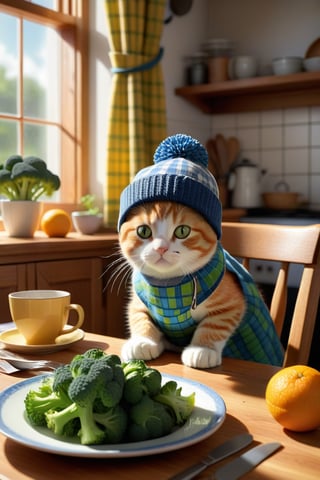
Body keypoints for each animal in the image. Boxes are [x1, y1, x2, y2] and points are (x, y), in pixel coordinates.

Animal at [119, 199, 282, 368]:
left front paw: (202, 349)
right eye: (143, 231)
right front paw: (142, 341)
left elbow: (215, 324)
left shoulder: (232, 303)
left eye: (182, 231)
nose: (161, 248)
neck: (169, 286)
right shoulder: (139, 299)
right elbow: (138, 316)